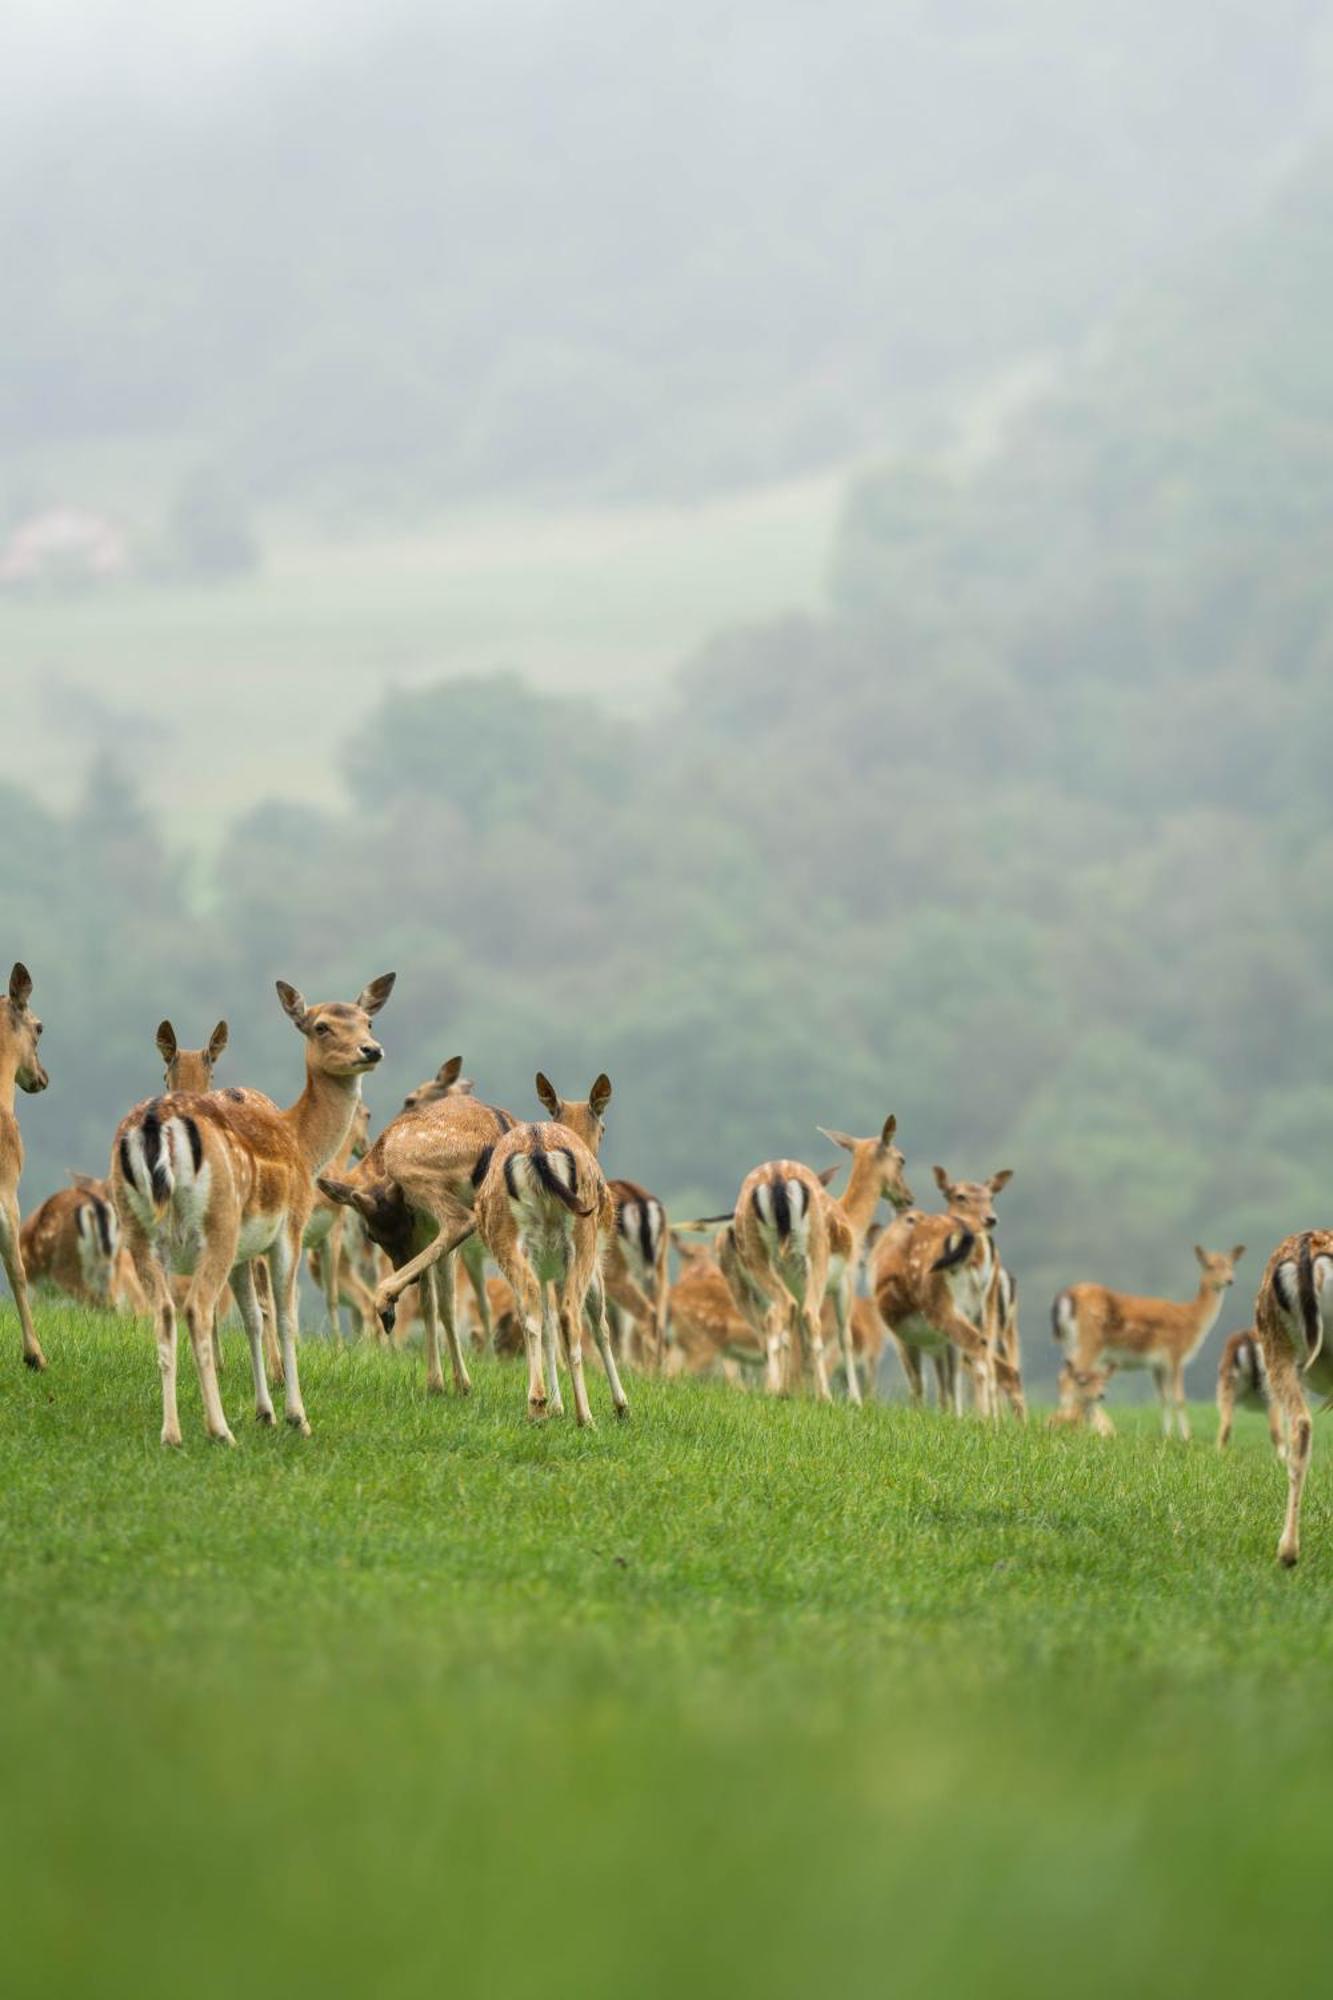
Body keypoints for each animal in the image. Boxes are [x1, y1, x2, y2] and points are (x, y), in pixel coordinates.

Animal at [111, 968, 392, 1440]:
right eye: (321, 1026)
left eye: (367, 1022)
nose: (371, 1050)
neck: (302, 1145)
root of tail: (156, 1128)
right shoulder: (290, 1228)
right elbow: (284, 1317)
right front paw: (297, 1416)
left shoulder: (246, 1249)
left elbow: (253, 1319)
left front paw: (266, 1411)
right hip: (217, 1225)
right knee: (196, 1309)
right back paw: (219, 1429)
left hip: (138, 1230)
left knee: (164, 1312)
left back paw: (171, 1432)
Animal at [472, 1072, 628, 1432]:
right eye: (604, 1127)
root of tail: (538, 1148)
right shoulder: (594, 1263)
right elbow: (600, 1325)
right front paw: (622, 1406)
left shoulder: (545, 1269)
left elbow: (546, 1328)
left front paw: (557, 1406)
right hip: (582, 1241)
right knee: (570, 1315)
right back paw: (585, 1416)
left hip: (509, 1242)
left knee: (530, 1312)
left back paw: (538, 1404)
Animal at [1048, 1248, 1248, 1440]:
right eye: (1210, 1265)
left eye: (1231, 1265)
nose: (1230, 1280)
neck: (1193, 1321)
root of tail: (1064, 1297)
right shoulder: (1175, 1355)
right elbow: (1179, 1398)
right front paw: (1186, 1437)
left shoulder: (1156, 1365)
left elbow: (1163, 1398)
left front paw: (1166, 1435)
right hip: (1090, 1343)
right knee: (1066, 1377)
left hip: (1069, 1345)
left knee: (1064, 1375)